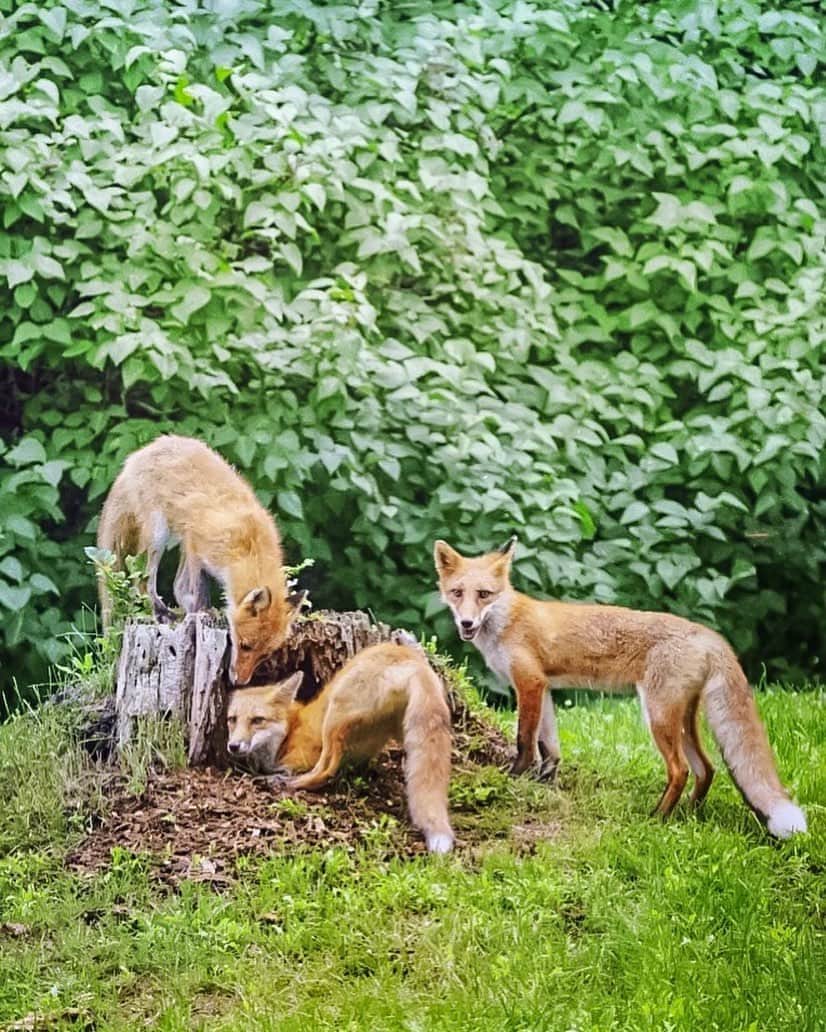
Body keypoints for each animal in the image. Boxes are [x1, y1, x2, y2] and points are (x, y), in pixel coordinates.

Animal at [97, 434, 305, 685]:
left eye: (264, 655)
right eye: (245, 645)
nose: (239, 682)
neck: (248, 547)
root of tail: (138, 455)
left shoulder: (191, 546)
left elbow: (181, 588)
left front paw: (197, 612)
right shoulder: (196, 545)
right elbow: (196, 590)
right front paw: (201, 613)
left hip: (174, 538)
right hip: (158, 534)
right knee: (143, 580)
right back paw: (159, 613)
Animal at [226, 641, 455, 853]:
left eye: (257, 720)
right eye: (232, 720)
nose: (233, 746)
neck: (289, 732)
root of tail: (412, 660)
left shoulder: (301, 756)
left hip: (333, 717)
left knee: (324, 772)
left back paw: (287, 783)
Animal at [434, 536, 807, 840]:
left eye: (484, 595)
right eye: (457, 593)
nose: (466, 622)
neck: (506, 621)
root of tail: (709, 634)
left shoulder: (529, 682)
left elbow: (525, 741)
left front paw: (514, 779)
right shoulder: (546, 687)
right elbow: (550, 747)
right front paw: (543, 785)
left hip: (657, 714)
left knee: (680, 769)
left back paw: (657, 818)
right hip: (683, 718)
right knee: (707, 768)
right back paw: (688, 816)